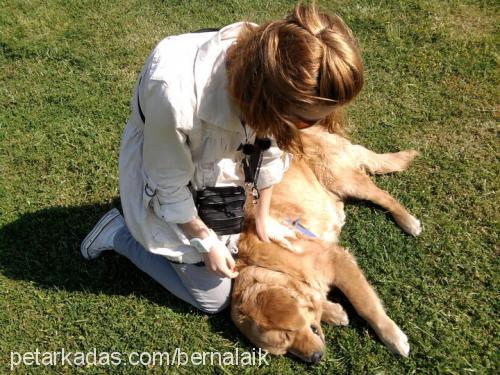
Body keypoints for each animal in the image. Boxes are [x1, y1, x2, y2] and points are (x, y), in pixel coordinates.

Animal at [232, 127, 420, 364]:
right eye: (285, 349)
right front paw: (333, 311)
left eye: (288, 334)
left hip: (341, 178)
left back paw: (408, 221)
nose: (314, 359)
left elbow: (366, 306)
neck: (274, 264)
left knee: (386, 198)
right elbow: (317, 299)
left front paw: (393, 336)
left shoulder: (336, 260)